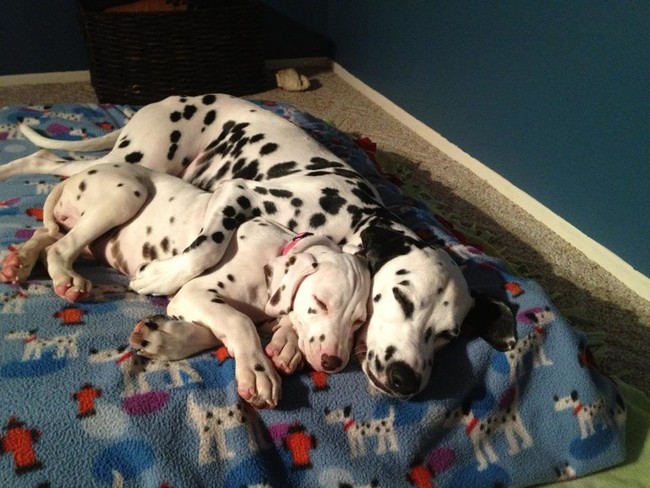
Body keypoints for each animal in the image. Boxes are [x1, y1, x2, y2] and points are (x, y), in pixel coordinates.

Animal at [0, 163, 372, 408]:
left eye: (358, 322)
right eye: (321, 303)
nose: (334, 363)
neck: (275, 249)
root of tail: (80, 173)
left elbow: (225, 328)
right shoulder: (194, 294)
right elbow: (240, 321)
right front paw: (258, 371)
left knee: (45, 236)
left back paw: (18, 261)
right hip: (128, 194)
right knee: (58, 247)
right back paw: (66, 278)